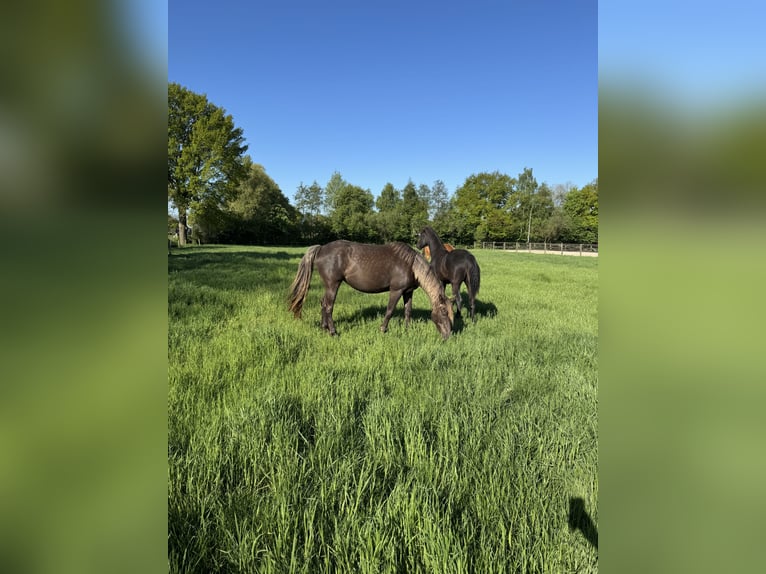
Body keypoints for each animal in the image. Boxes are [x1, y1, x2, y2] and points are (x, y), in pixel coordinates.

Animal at [288, 240, 454, 339]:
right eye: (444, 312)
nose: (448, 335)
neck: (411, 265)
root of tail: (321, 248)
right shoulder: (396, 290)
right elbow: (390, 310)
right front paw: (383, 329)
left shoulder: (408, 292)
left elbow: (408, 311)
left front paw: (407, 330)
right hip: (333, 284)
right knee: (328, 306)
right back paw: (333, 332)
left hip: (329, 285)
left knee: (323, 303)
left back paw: (324, 328)